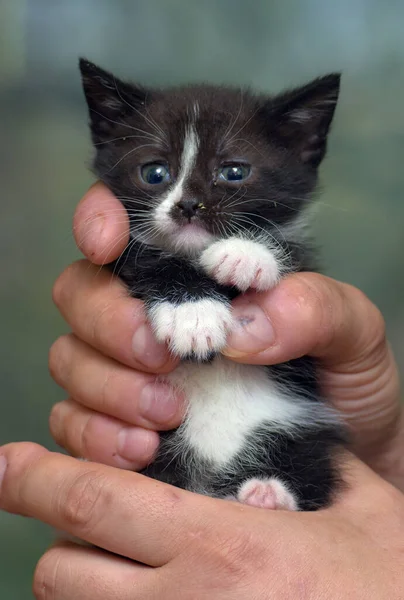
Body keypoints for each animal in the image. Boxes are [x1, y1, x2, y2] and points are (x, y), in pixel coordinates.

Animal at [79, 57, 348, 510]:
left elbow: (291, 255)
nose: (189, 205)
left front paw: (246, 255)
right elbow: (143, 259)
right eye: (154, 172)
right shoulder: (113, 252)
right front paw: (194, 315)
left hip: (298, 431)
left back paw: (267, 493)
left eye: (233, 171)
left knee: (309, 463)